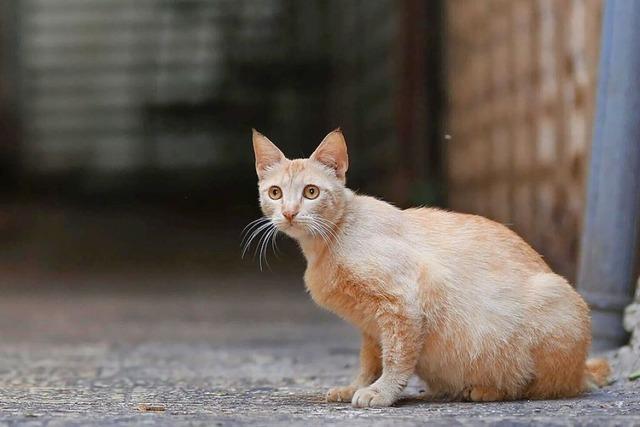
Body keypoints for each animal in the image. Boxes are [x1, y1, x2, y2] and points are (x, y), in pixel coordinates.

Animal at [249, 130, 608, 408]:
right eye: (275, 193)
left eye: (311, 192)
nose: (290, 213)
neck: (327, 242)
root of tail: (582, 368)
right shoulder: (371, 326)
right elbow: (370, 361)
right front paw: (356, 386)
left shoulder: (403, 304)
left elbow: (396, 357)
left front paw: (381, 393)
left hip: (555, 299)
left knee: (544, 386)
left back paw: (487, 389)